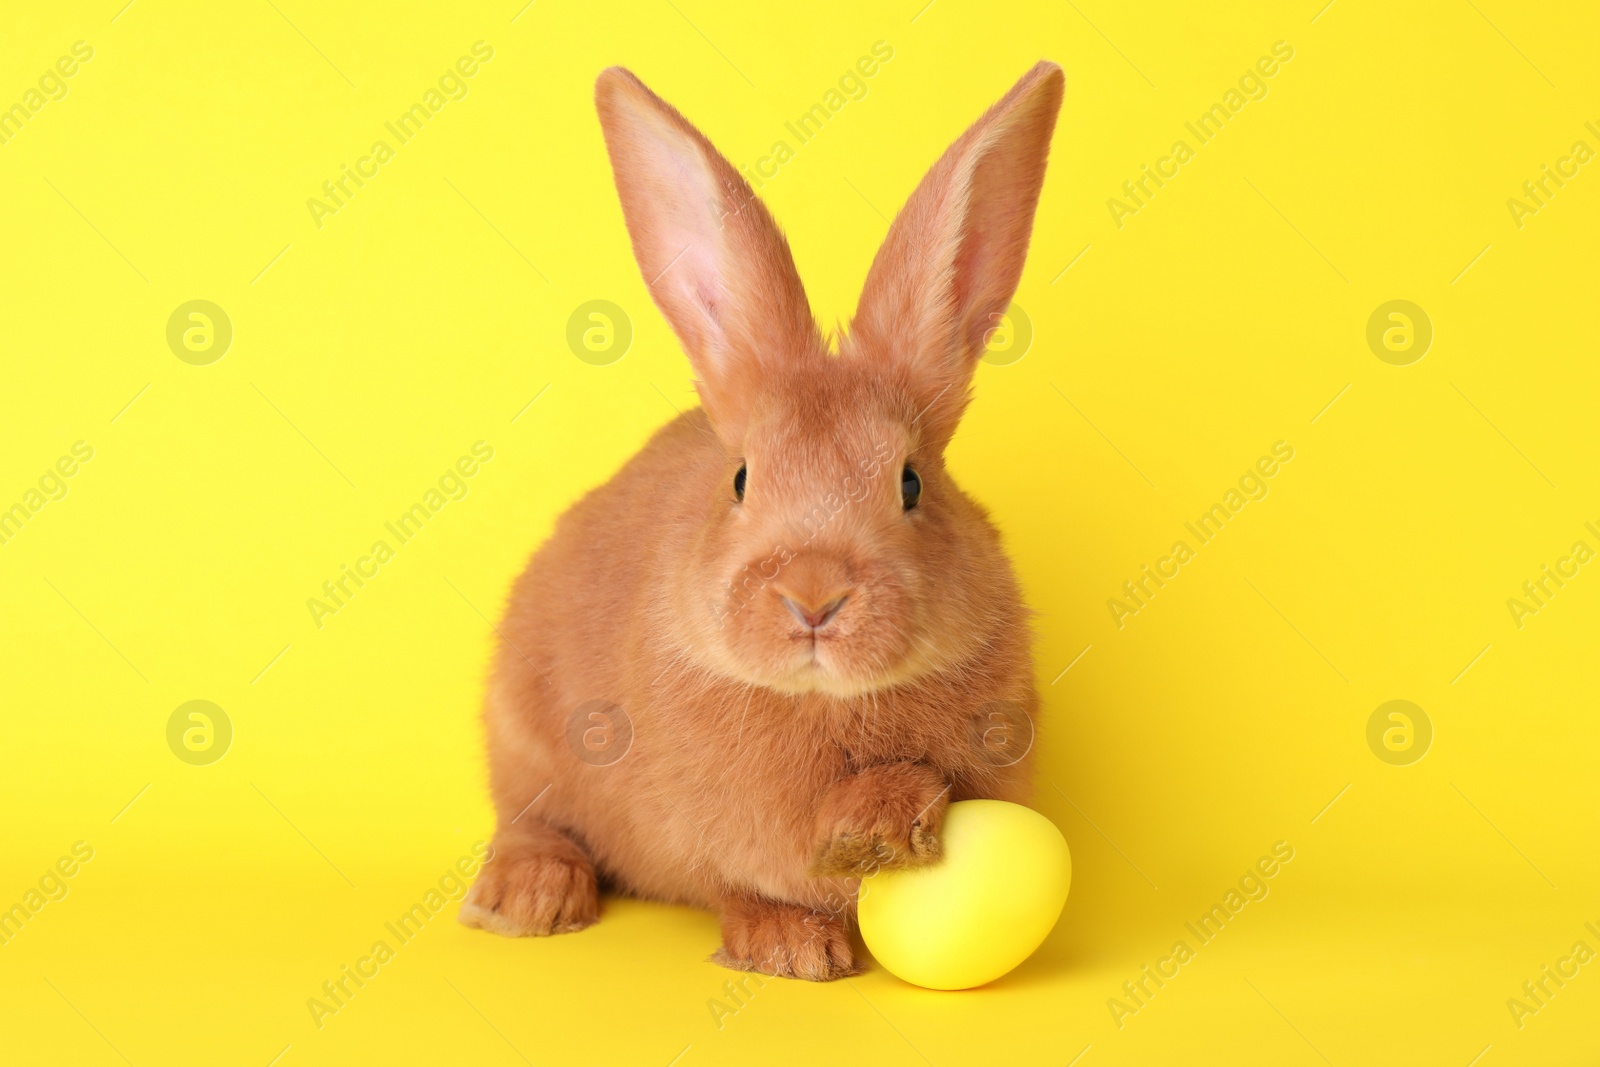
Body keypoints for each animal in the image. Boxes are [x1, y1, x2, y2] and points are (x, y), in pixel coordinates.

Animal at [460, 54, 1062, 979]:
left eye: (912, 483)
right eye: (742, 478)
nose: (814, 598)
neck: (827, 703)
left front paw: (882, 823)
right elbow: (748, 877)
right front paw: (797, 941)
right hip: (519, 724)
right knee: (530, 814)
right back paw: (528, 898)